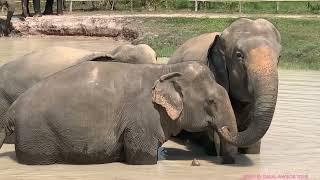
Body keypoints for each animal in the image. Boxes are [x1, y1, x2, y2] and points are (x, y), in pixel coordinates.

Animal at [0, 60, 258, 165]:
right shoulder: (143, 118)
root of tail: (10, 112)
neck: (165, 69)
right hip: (37, 135)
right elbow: (142, 158)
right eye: (211, 101)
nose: (224, 161)